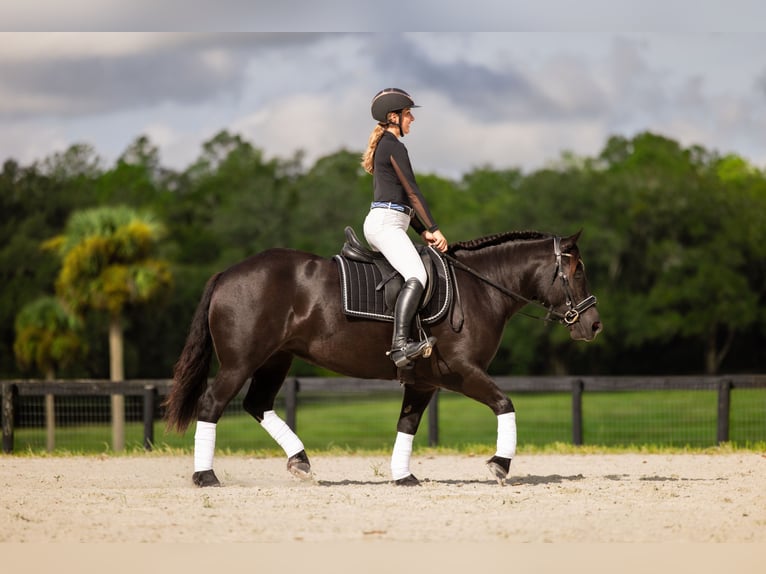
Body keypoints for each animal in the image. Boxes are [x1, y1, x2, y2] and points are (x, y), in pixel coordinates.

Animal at [163, 229, 602, 487]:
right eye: (578, 270)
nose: (594, 325)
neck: (480, 287)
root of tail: (227, 273)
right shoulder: (462, 371)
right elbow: (505, 403)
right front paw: (500, 464)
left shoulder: (424, 381)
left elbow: (407, 424)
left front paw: (403, 476)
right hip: (241, 362)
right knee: (212, 404)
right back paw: (205, 476)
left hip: (276, 360)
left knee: (257, 404)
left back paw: (301, 462)